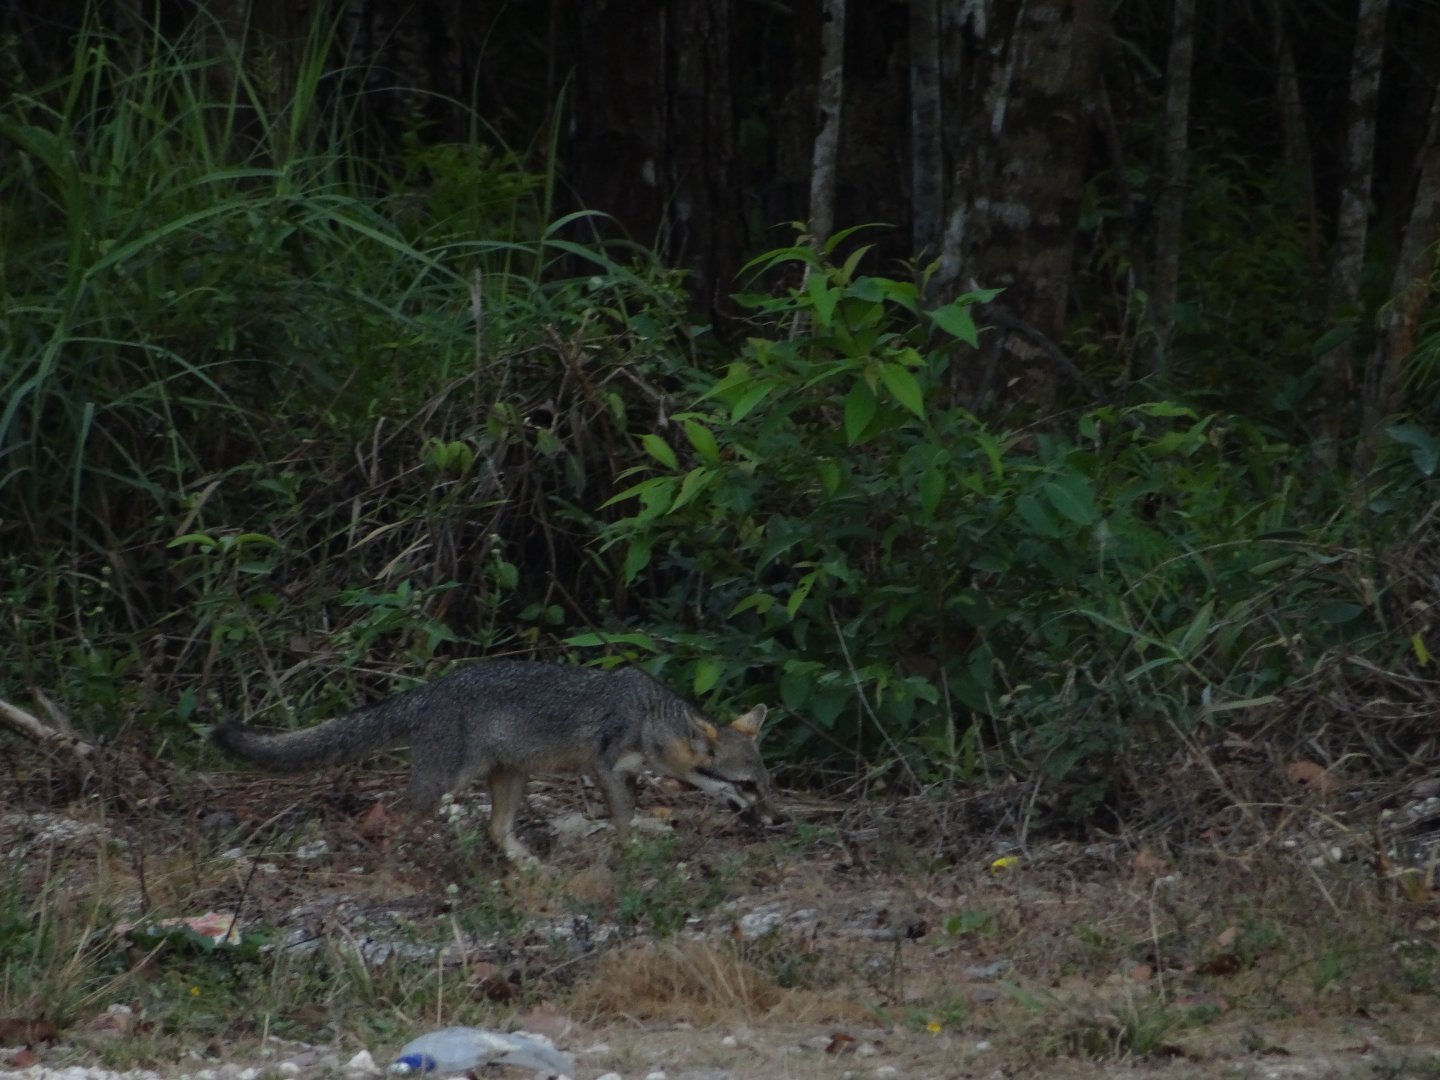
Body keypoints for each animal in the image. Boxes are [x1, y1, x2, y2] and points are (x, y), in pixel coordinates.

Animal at [210, 660, 775, 861]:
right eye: (747, 786)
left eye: (764, 785)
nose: (775, 820)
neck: (650, 714)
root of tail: (428, 690)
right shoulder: (604, 767)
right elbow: (621, 819)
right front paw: (633, 849)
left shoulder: (625, 774)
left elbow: (628, 813)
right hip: (443, 783)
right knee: (388, 824)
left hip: (512, 777)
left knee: (495, 831)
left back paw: (533, 868)